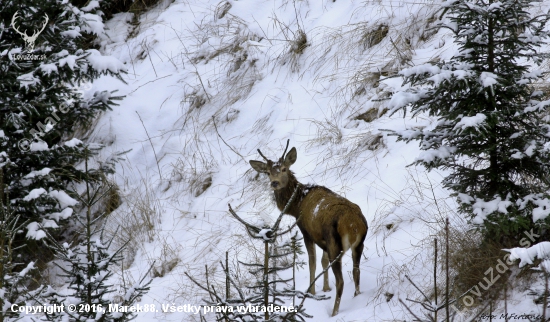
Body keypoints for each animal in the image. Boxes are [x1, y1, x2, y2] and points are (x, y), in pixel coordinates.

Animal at [251, 142, 370, 316]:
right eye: (267, 172)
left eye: (284, 169)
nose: (274, 183)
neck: (296, 205)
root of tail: (354, 225)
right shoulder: (322, 238)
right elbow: (323, 261)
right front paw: (326, 289)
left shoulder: (306, 231)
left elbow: (312, 262)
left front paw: (312, 293)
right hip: (357, 244)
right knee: (356, 272)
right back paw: (357, 297)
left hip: (335, 243)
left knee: (341, 281)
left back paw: (334, 312)